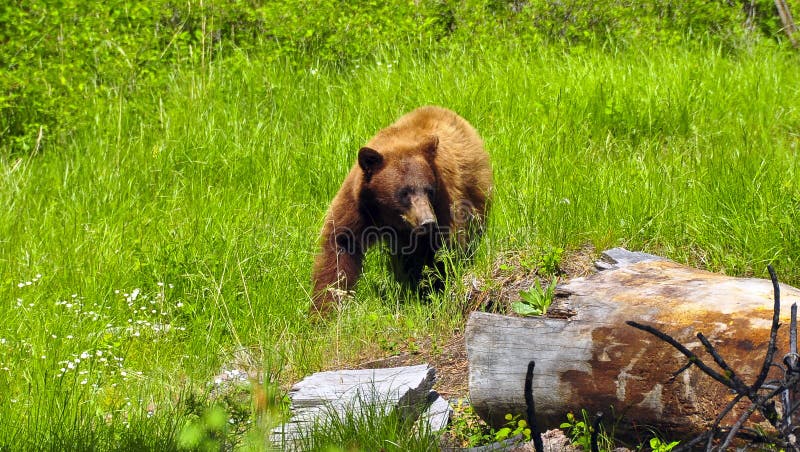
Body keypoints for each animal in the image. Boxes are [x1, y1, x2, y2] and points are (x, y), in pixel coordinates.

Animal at [312, 107, 494, 314]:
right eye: (404, 193)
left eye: (429, 190)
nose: (427, 222)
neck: (388, 215)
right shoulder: (359, 205)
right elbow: (340, 246)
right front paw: (326, 307)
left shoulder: (443, 201)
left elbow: (445, 250)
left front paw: (432, 293)